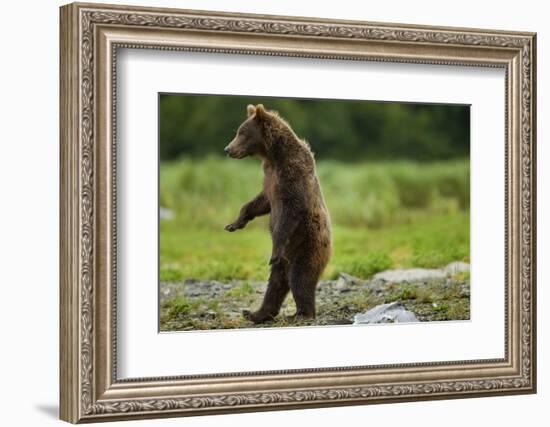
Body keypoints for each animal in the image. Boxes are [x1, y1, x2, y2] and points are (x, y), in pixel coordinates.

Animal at [224, 104, 332, 324]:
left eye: (242, 132)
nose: (227, 149)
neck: (273, 155)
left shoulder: (292, 176)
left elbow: (290, 211)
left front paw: (275, 243)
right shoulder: (270, 177)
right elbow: (260, 202)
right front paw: (234, 223)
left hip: (307, 245)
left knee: (300, 278)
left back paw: (301, 314)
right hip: (285, 260)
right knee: (275, 283)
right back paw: (255, 313)